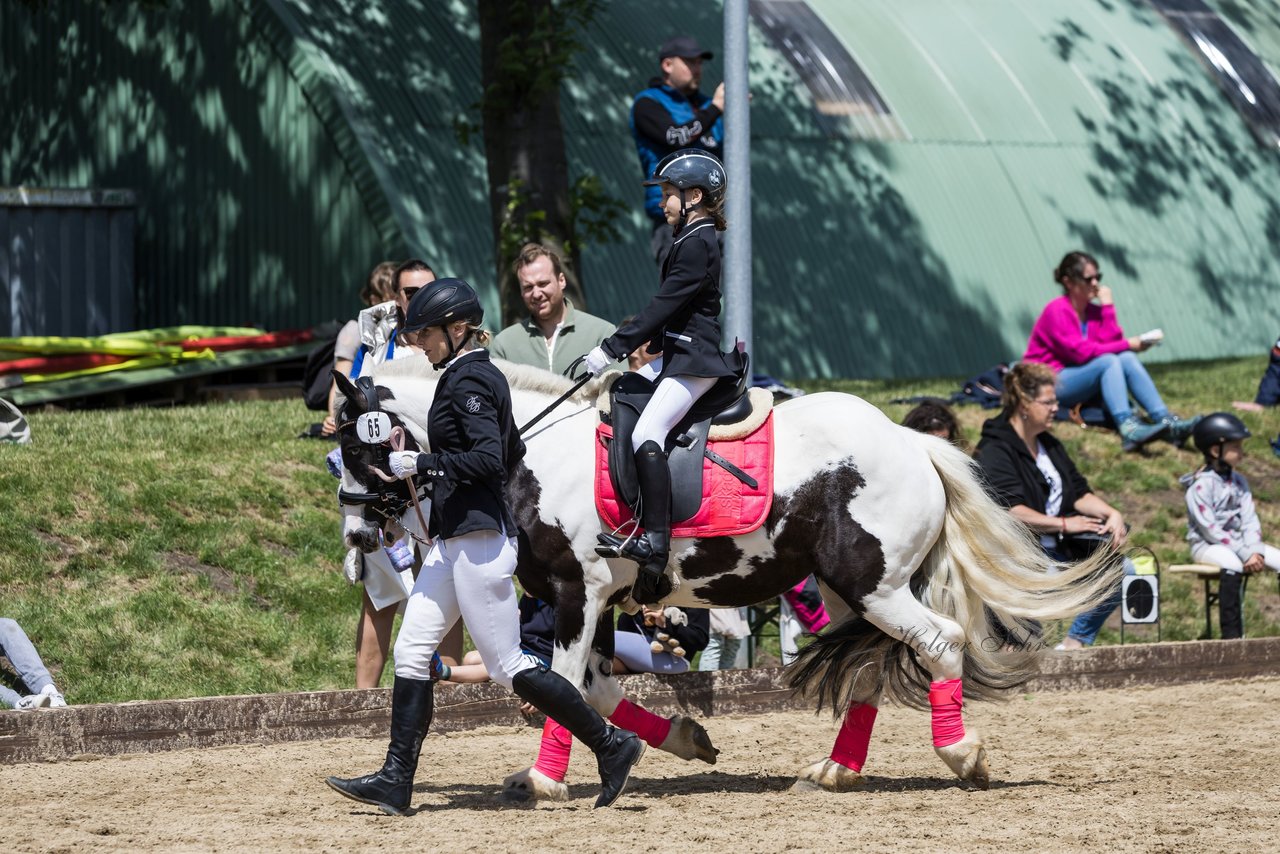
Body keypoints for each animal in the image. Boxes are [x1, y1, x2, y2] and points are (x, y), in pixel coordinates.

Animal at [332, 358, 1121, 798]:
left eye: (355, 449)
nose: (359, 539)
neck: (528, 450)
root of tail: (912, 442)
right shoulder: (600, 599)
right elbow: (597, 689)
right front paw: (683, 739)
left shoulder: (575, 592)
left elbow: (563, 682)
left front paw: (543, 780)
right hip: (848, 593)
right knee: (870, 667)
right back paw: (835, 771)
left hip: (876, 587)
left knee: (942, 641)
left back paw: (962, 755)